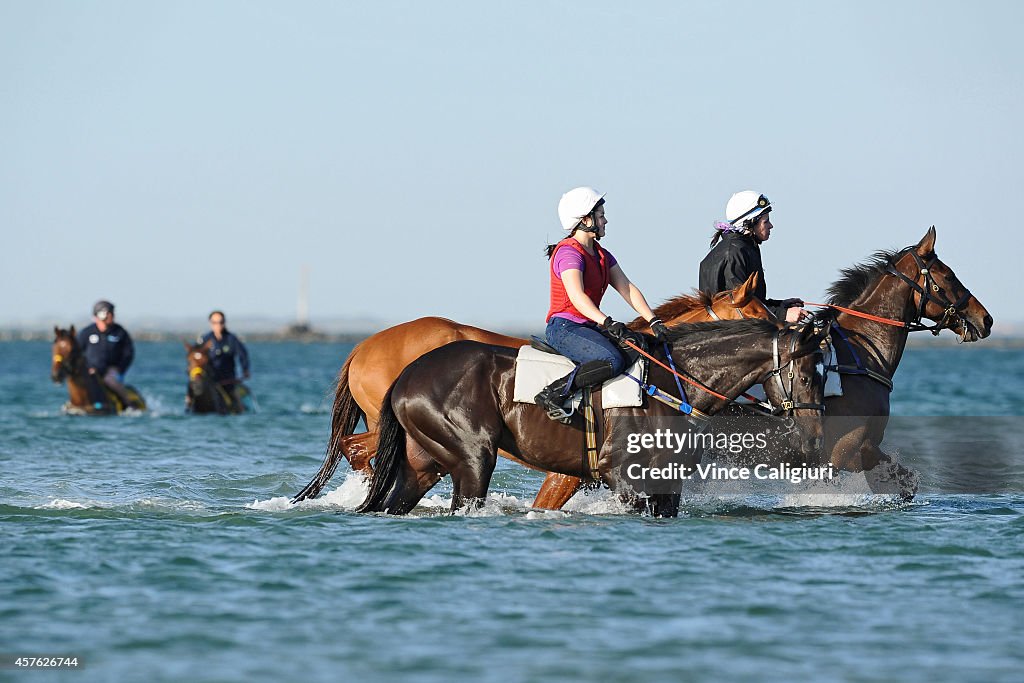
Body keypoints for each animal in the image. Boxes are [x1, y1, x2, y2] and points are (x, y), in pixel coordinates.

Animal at [356, 321, 827, 518]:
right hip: (472, 460)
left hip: (423, 465)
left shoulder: (667, 484)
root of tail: (408, 373)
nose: (813, 437)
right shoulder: (623, 478)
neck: (671, 384)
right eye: (807, 375)